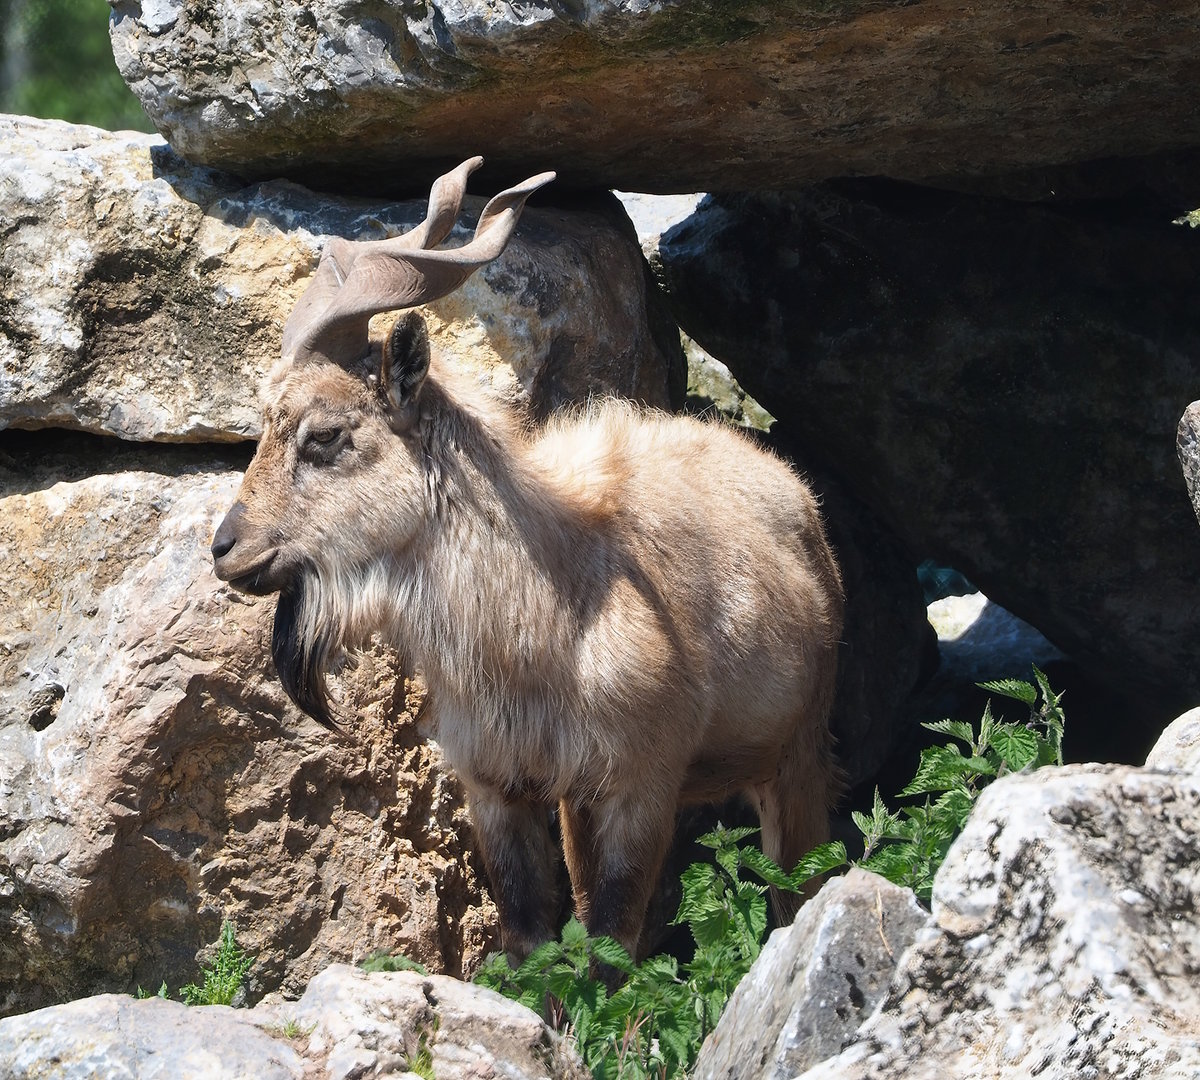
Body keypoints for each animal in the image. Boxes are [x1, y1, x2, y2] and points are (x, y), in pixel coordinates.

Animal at [211, 159, 844, 962]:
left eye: (324, 434)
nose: (226, 549)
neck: (545, 622)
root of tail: (795, 494)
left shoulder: (639, 785)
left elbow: (610, 945)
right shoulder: (503, 787)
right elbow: (530, 934)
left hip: (796, 756)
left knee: (799, 888)